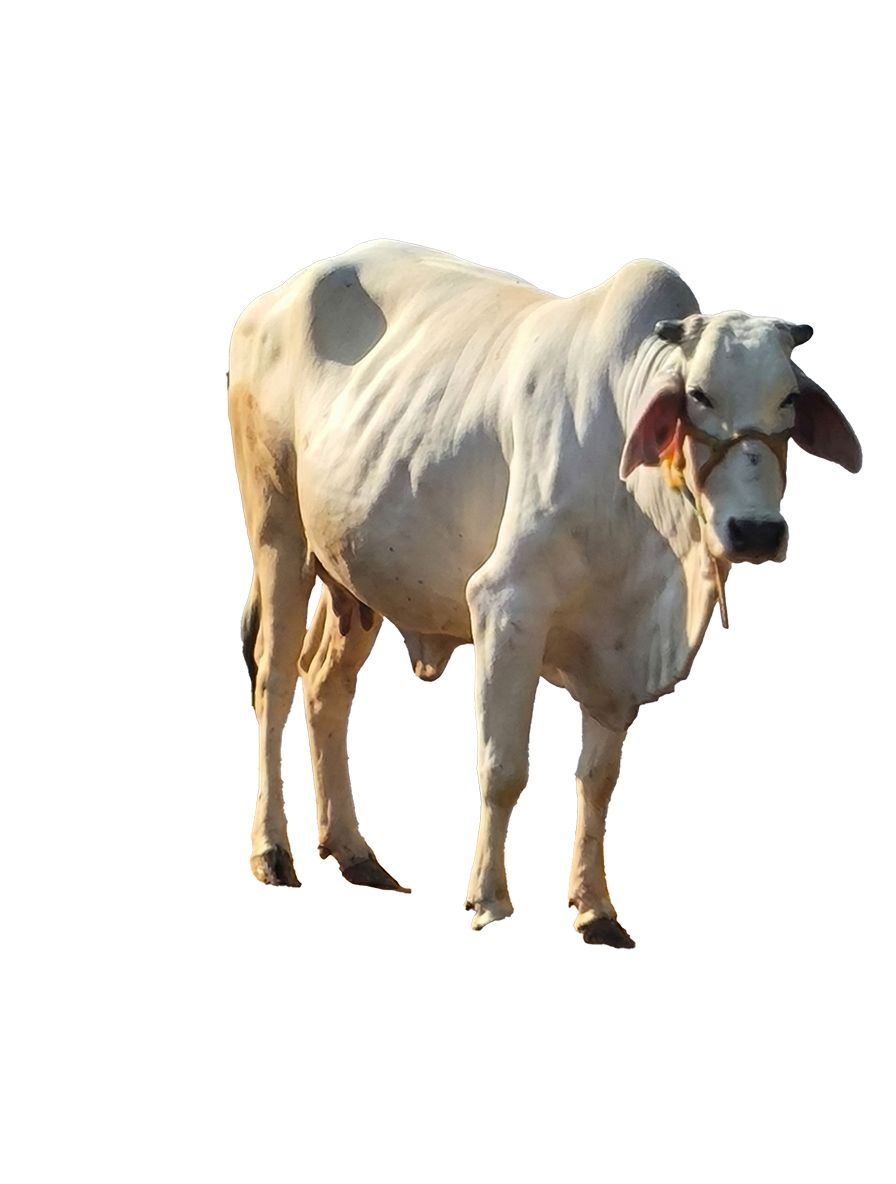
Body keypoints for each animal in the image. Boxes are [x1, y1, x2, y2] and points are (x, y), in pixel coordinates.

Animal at [227, 239, 861, 948]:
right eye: (698, 394)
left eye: (789, 399)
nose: (755, 530)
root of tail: (275, 297)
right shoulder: (506, 606)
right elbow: (502, 769)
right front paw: (490, 902)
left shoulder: (617, 658)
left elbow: (598, 781)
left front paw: (596, 908)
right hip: (277, 530)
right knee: (275, 680)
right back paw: (273, 851)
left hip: (352, 573)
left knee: (324, 684)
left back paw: (352, 849)